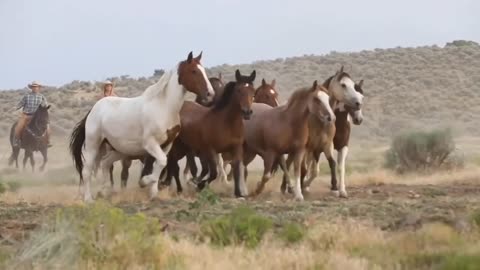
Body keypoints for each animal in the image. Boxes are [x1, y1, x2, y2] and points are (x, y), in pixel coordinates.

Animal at [69, 51, 214, 201]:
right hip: (93, 145)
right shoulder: (150, 144)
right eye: (194, 71)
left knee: (105, 163)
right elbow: (161, 163)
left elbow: (160, 165)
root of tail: (93, 110)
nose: (210, 94)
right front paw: (145, 182)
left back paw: (104, 192)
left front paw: (153, 193)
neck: (163, 107)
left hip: (117, 150)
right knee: (87, 171)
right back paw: (88, 199)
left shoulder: (166, 145)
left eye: (203, 70)